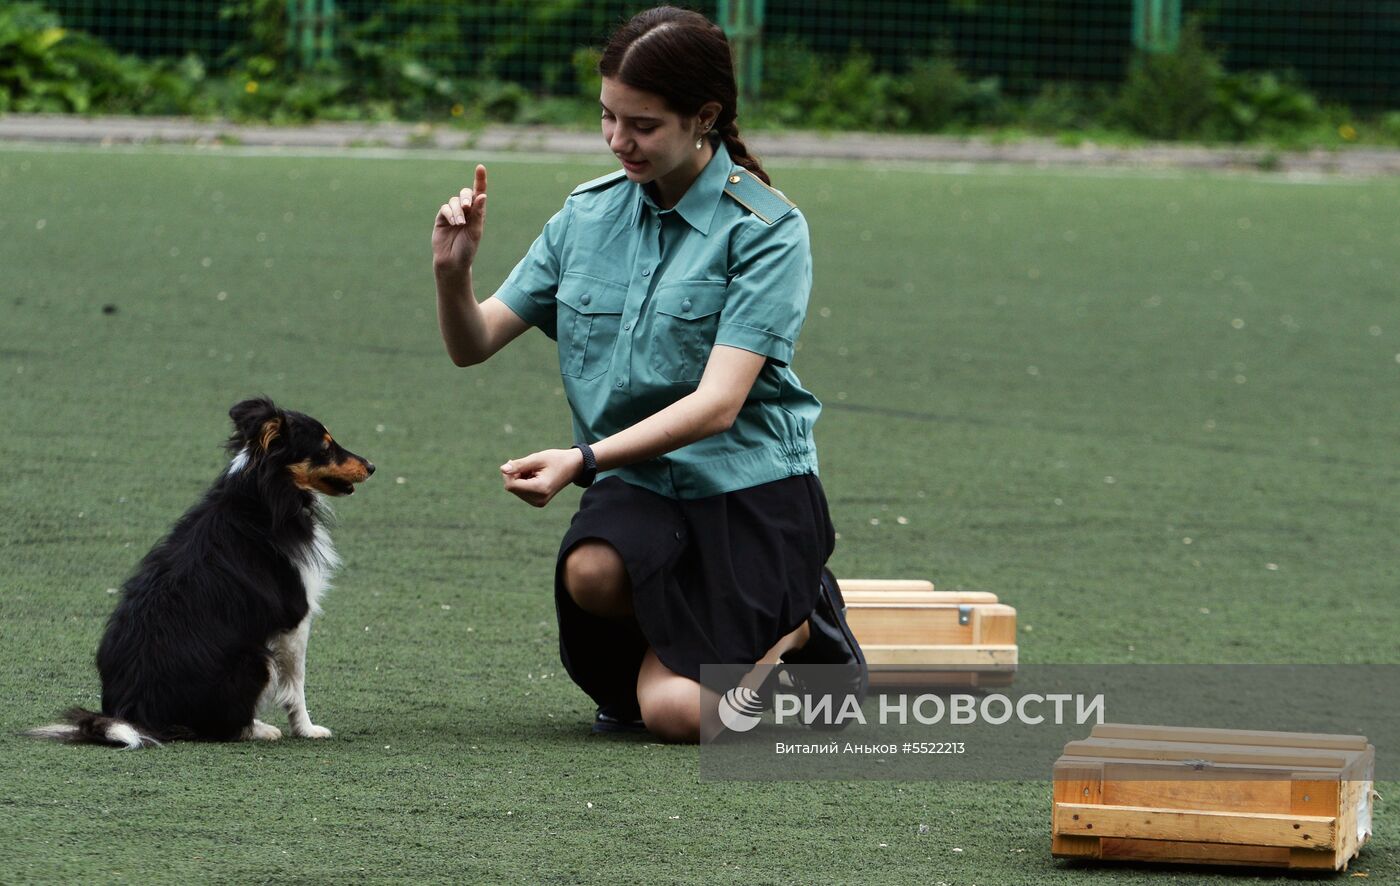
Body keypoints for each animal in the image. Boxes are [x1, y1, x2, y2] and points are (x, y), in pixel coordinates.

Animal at [30, 400, 375, 744]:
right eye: (325, 447)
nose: (372, 466)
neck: (263, 494)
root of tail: (133, 713)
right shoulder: (295, 616)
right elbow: (296, 684)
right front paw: (307, 729)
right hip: (257, 658)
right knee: (222, 726)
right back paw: (260, 729)